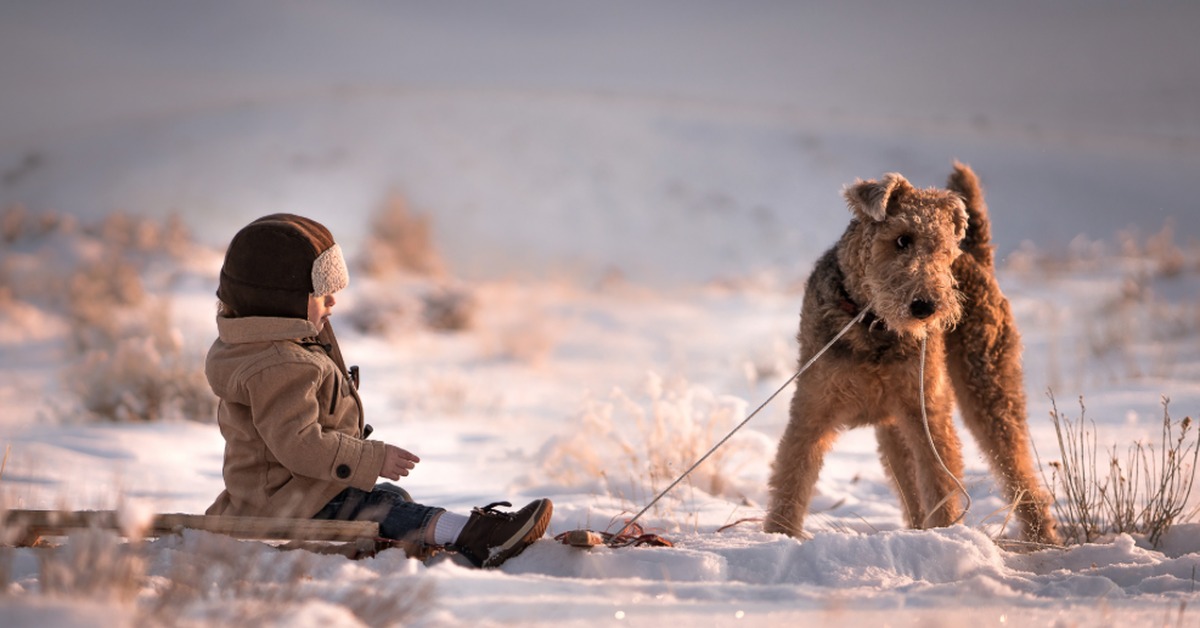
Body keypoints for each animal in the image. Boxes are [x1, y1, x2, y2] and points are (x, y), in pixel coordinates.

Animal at [768, 162, 1060, 545]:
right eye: (902, 239)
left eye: (943, 249)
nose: (925, 306)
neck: (871, 324)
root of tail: (976, 255)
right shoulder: (811, 410)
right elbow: (791, 481)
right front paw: (777, 536)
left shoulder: (929, 415)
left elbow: (940, 484)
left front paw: (947, 535)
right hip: (897, 428)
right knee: (914, 493)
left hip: (989, 391)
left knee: (1020, 472)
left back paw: (1043, 540)